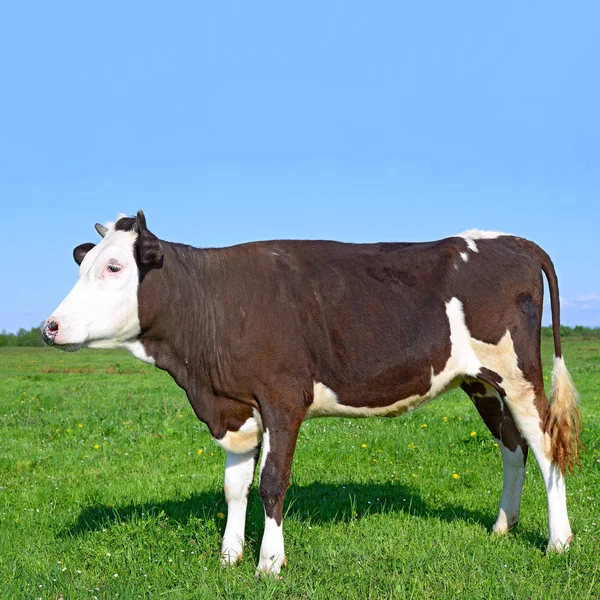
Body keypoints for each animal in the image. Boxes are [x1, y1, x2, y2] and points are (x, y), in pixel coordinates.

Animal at [42, 212, 580, 576]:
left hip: (518, 373)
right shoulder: (233, 407)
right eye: (84, 265)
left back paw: (559, 541)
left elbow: (271, 482)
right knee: (513, 448)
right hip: (481, 382)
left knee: (545, 444)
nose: (51, 326)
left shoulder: (282, 399)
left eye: (114, 267)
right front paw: (229, 555)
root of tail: (512, 239)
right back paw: (503, 525)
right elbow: (234, 486)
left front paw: (269, 562)